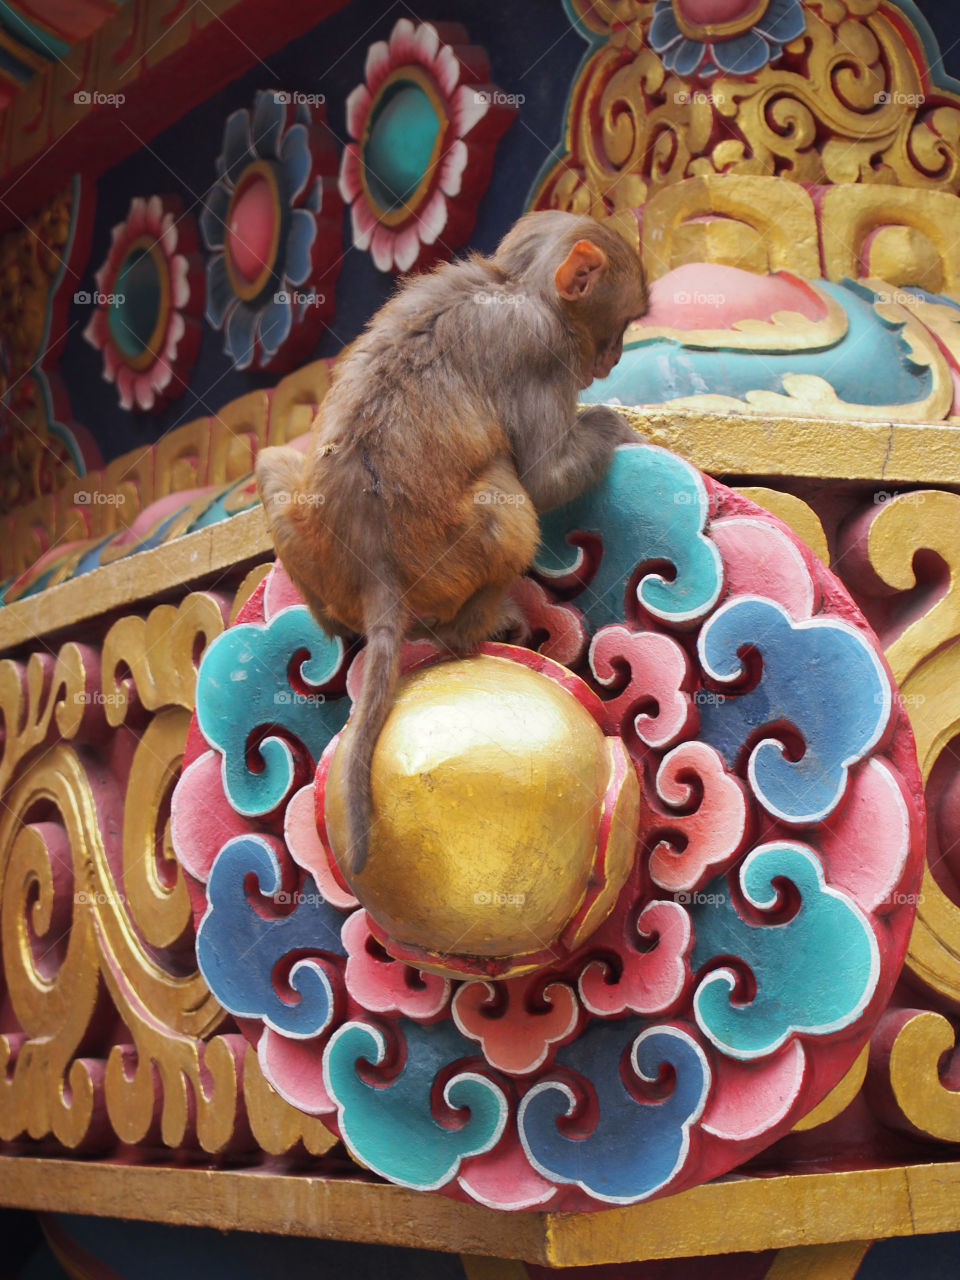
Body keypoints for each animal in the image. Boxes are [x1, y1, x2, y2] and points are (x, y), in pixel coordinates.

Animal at [256, 210, 647, 875]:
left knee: (273, 463)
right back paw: (477, 628)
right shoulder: (541, 347)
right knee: (510, 509)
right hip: (451, 556)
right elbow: (544, 476)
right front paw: (614, 423)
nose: (616, 355)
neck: (515, 283)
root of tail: (376, 576)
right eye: (618, 326)